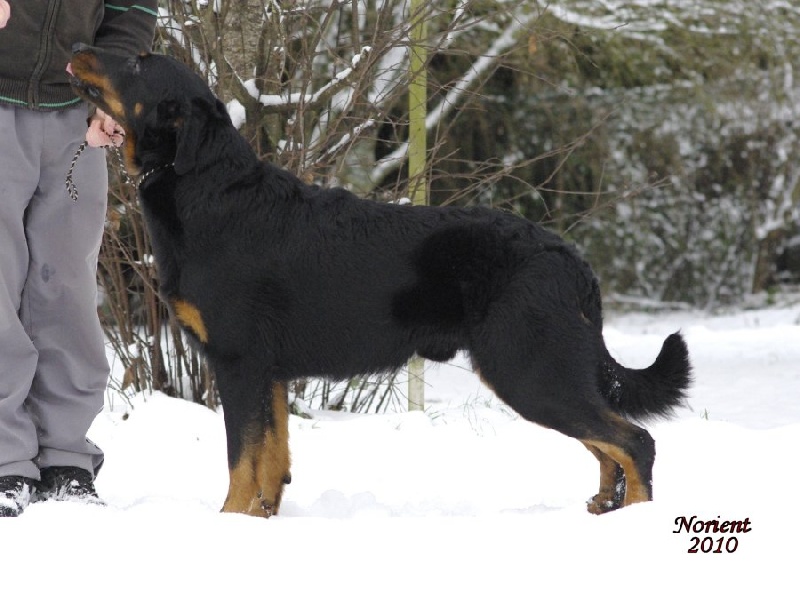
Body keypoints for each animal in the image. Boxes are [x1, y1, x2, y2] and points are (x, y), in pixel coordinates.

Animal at [69, 44, 691, 518]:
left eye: (138, 62)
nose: (78, 46)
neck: (207, 190)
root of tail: (571, 259)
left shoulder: (239, 363)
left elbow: (242, 461)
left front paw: (228, 523)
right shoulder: (269, 373)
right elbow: (273, 459)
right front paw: (261, 522)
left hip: (529, 369)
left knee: (634, 441)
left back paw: (634, 518)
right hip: (543, 370)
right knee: (608, 446)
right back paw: (605, 509)